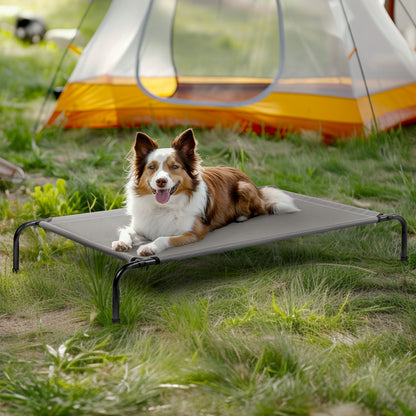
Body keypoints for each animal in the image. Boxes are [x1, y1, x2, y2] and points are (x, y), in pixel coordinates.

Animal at [110, 128, 300, 258]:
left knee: (258, 210)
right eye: (152, 167)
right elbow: (126, 231)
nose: (161, 181)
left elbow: (163, 238)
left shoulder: (193, 233)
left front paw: (149, 247)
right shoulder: (141, 227)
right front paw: (121, 243)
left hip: (243, 187)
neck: (164, 207)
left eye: (174, 166)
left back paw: (240, 217)